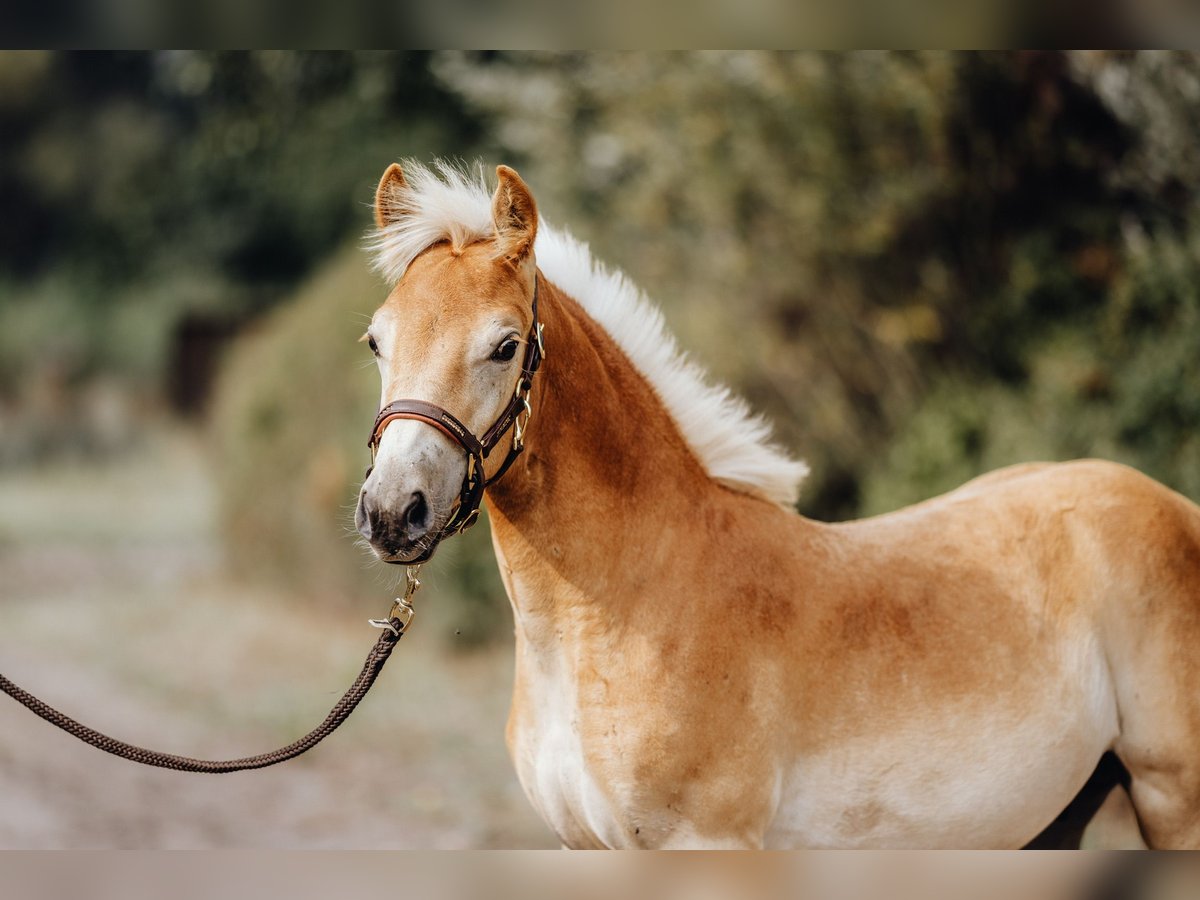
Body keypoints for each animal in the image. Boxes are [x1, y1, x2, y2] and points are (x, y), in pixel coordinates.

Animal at [352, 164, 1200, 854]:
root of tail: (1172, 507)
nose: (394, 512)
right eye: (375, 342)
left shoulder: (709, 845)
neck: (625, 608)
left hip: (1173, 803)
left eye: (504, 346)